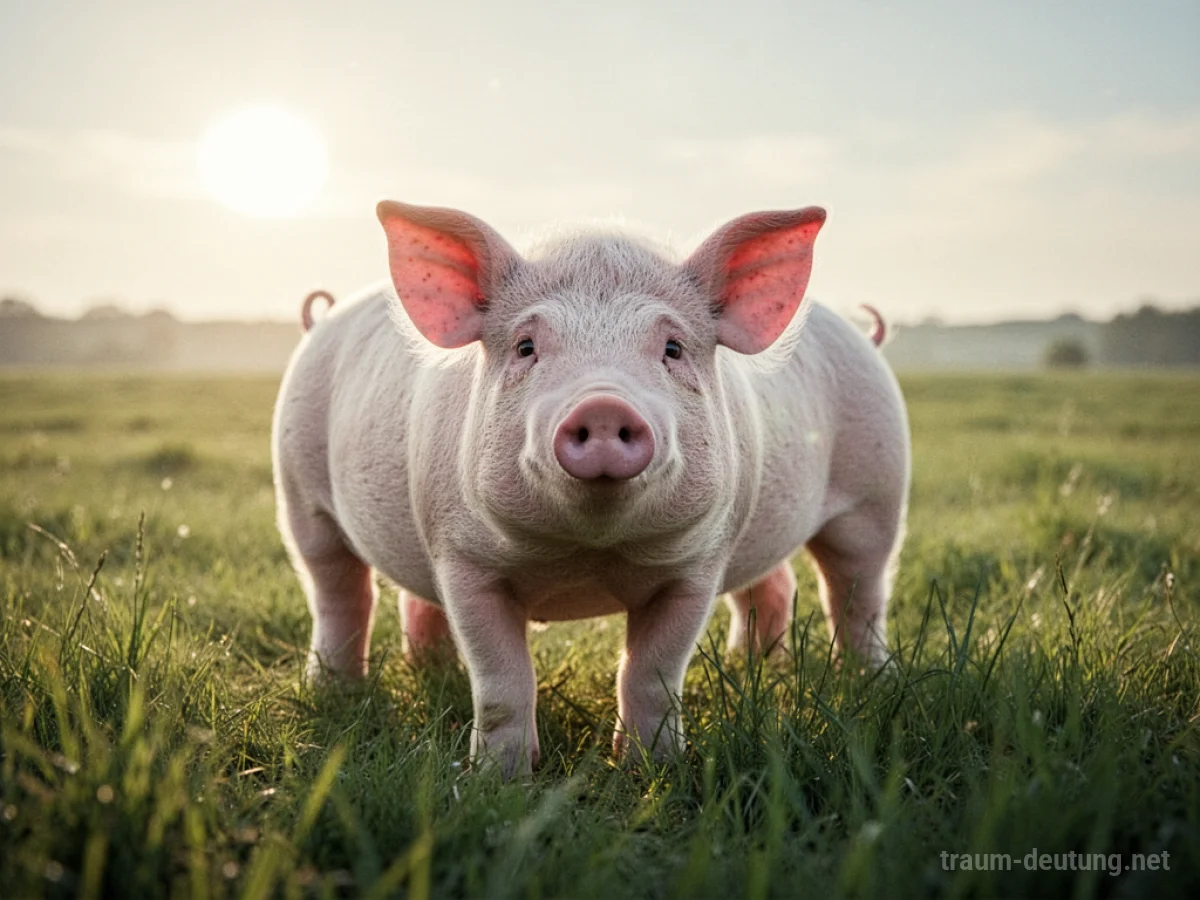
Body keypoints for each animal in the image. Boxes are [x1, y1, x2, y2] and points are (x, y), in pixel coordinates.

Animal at [272, 201, 910, 778]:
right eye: (526, 346)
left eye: (672, 348)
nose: (603, 405)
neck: (588, 554)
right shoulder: (462, 559)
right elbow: (502, 681)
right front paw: (500, 782)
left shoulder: (697, 564)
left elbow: (652, 676)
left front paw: (650, 772)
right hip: (301, 496)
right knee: (340, 591)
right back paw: (342, 690)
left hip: (877, 494)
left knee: (851, 588)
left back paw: (862, 681)